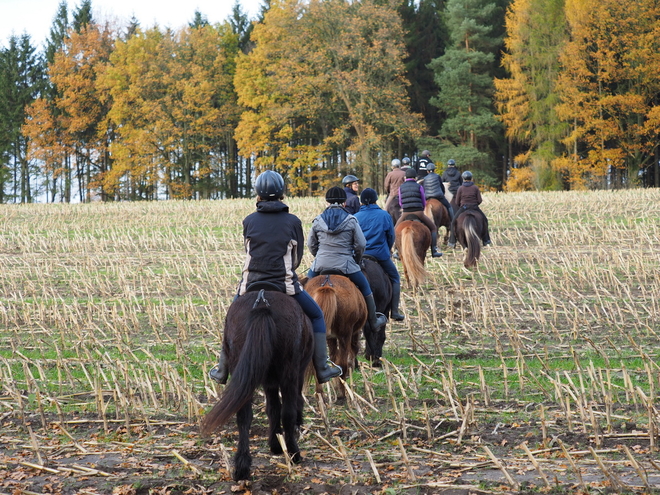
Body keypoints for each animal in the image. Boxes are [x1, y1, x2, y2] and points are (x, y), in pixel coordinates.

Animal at [200, 290, 314, 480]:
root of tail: (262, 302)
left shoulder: (269, 382)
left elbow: (272, 409)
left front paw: (275, 443)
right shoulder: (295, 374)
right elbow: (286, 407)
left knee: (243, 416)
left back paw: (242, 466)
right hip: (289, 373)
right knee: (288, 412)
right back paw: (294, 453)